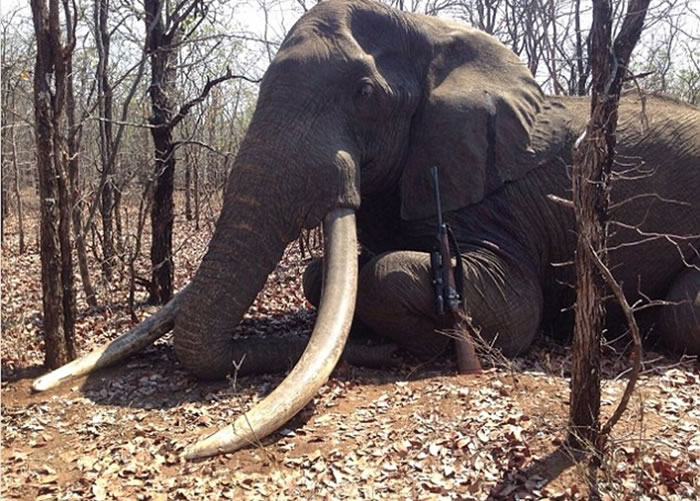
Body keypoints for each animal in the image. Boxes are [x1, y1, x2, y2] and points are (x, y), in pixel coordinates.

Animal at [35, 0, 700, 458]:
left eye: (363, 93)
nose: (372, 354)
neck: (433, 30)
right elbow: (322, 272)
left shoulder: (494, 191)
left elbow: (512, 310)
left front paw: (403, 341)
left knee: (681, 313)